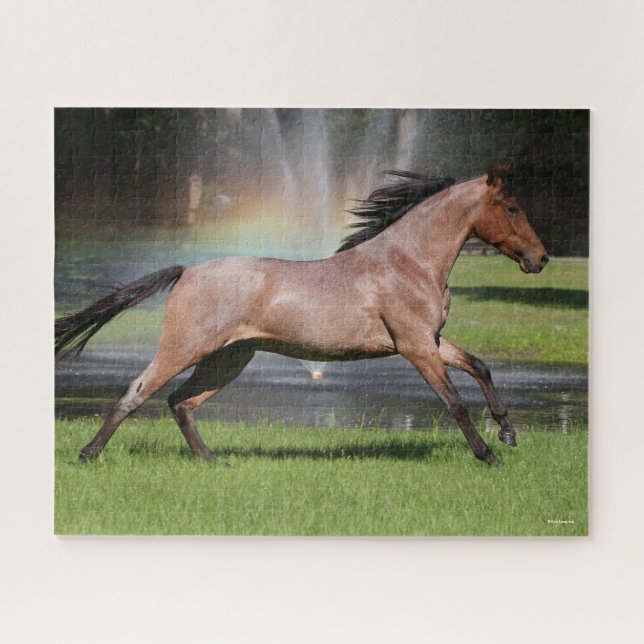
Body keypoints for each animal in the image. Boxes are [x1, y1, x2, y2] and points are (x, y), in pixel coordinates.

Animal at [55, 165, 549, 466]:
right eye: (511, 208)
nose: (541, 258)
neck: (409, 261)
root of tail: (187, 271)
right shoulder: (415, 347)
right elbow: (454, 402)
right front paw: (490, 456)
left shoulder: (431, 341)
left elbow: (480, 367)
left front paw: (508, 433)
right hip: (185, 348)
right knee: (138, 392)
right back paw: (87, 455)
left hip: (229, 358)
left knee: (182, 402)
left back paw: (213, 462)